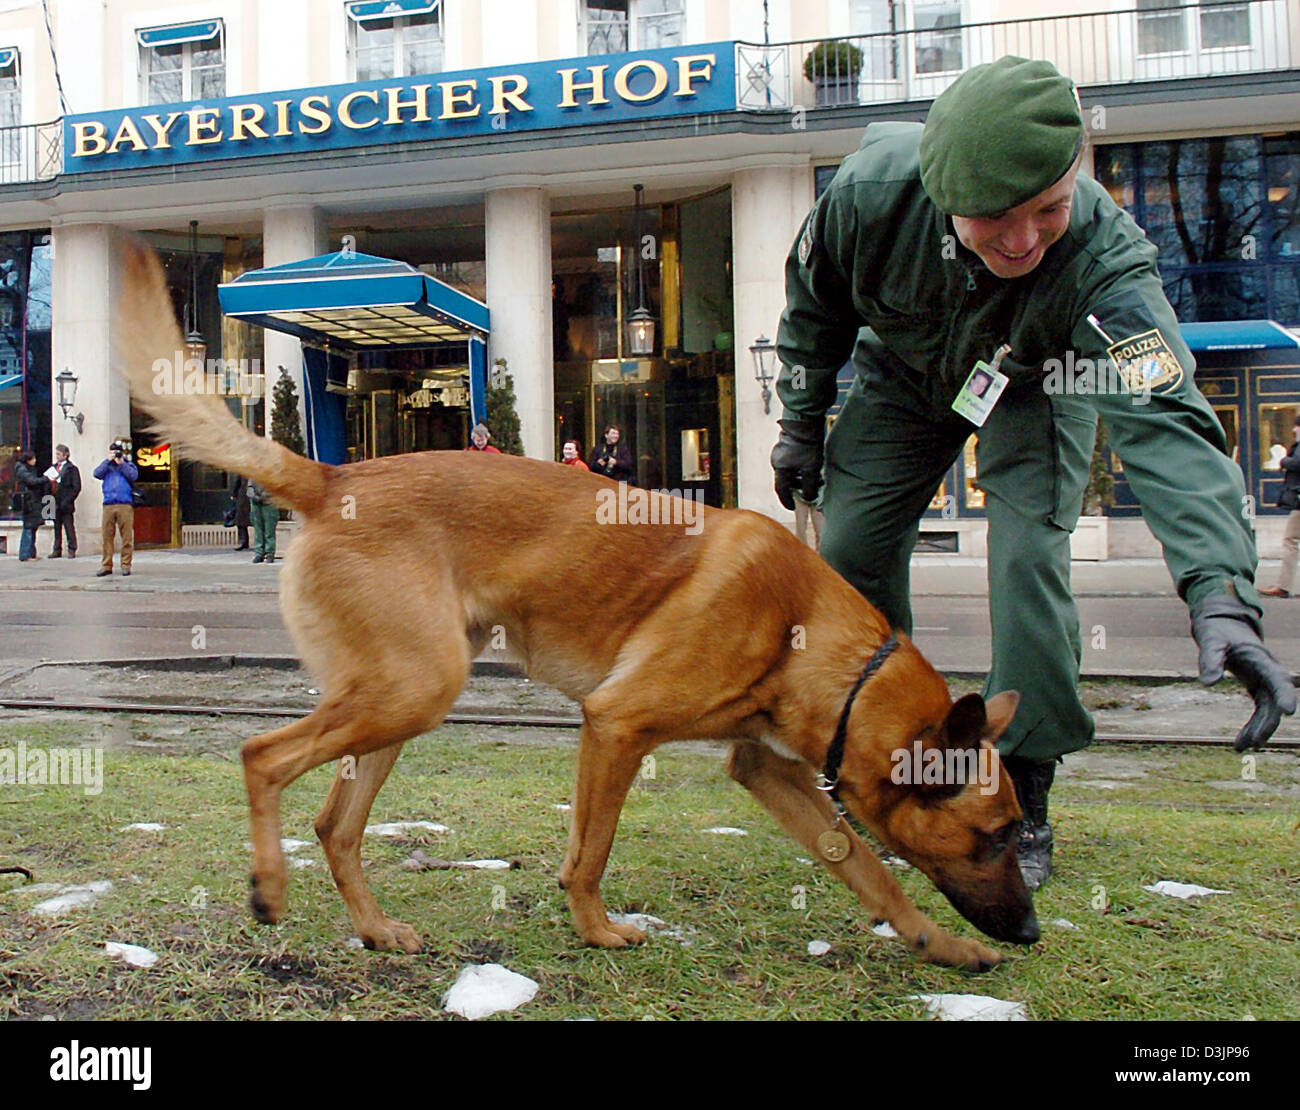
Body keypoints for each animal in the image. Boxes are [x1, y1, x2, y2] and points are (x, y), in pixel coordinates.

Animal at [119, 236, 1034, 972]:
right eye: (996, 836)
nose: (1029, 931)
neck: (808, 632)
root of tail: (330, 475)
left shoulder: (768, 769)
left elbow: (872, 872)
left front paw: (944, 947)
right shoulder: (618, 726)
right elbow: (590, 853)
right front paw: (598, 931)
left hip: (399, 700)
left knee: (337, 827)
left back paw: (376, 931)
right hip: (413, 691)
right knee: (262, 756)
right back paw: (270, 890)